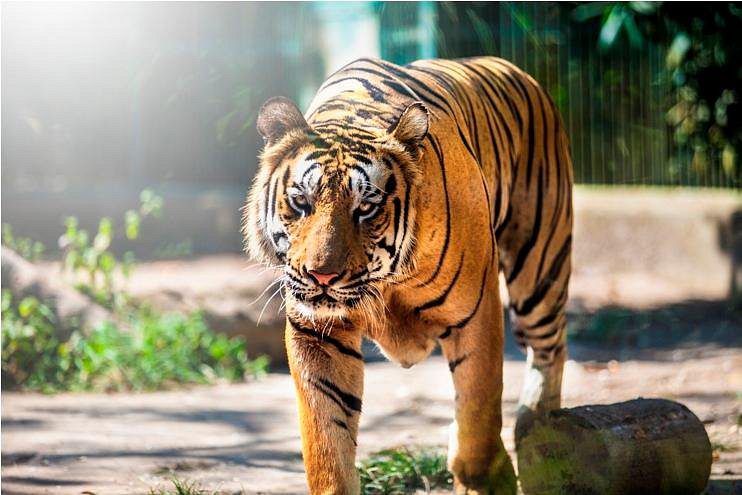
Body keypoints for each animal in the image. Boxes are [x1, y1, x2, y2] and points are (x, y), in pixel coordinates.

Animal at [243, 56, 573, 494]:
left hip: (539, 266)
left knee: (550, 348)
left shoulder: (475, 315)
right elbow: (326, 436)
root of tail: (515, 69)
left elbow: (478, 408)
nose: (322, 276)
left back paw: (539, 431)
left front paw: (487, 478)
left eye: (365, 208)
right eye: (300, 202)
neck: (383, 281)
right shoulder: (316, 332)